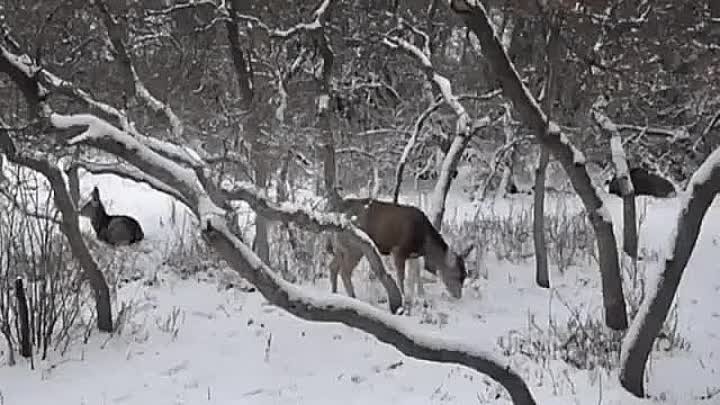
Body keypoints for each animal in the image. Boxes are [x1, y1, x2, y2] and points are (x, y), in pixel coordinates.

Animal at [328, 197, 472, 298]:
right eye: (455, 275)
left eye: (465, 275)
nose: (458, 296)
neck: (424, 243)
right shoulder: (399, 250)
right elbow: (401, 277)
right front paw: (403, 295)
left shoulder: (413, 254)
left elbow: (416, 273)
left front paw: (421, 295)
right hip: (355, 245)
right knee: (344, 271)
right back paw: (353, 296)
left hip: (341, 246)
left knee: (333, 266)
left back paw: (334, 292)